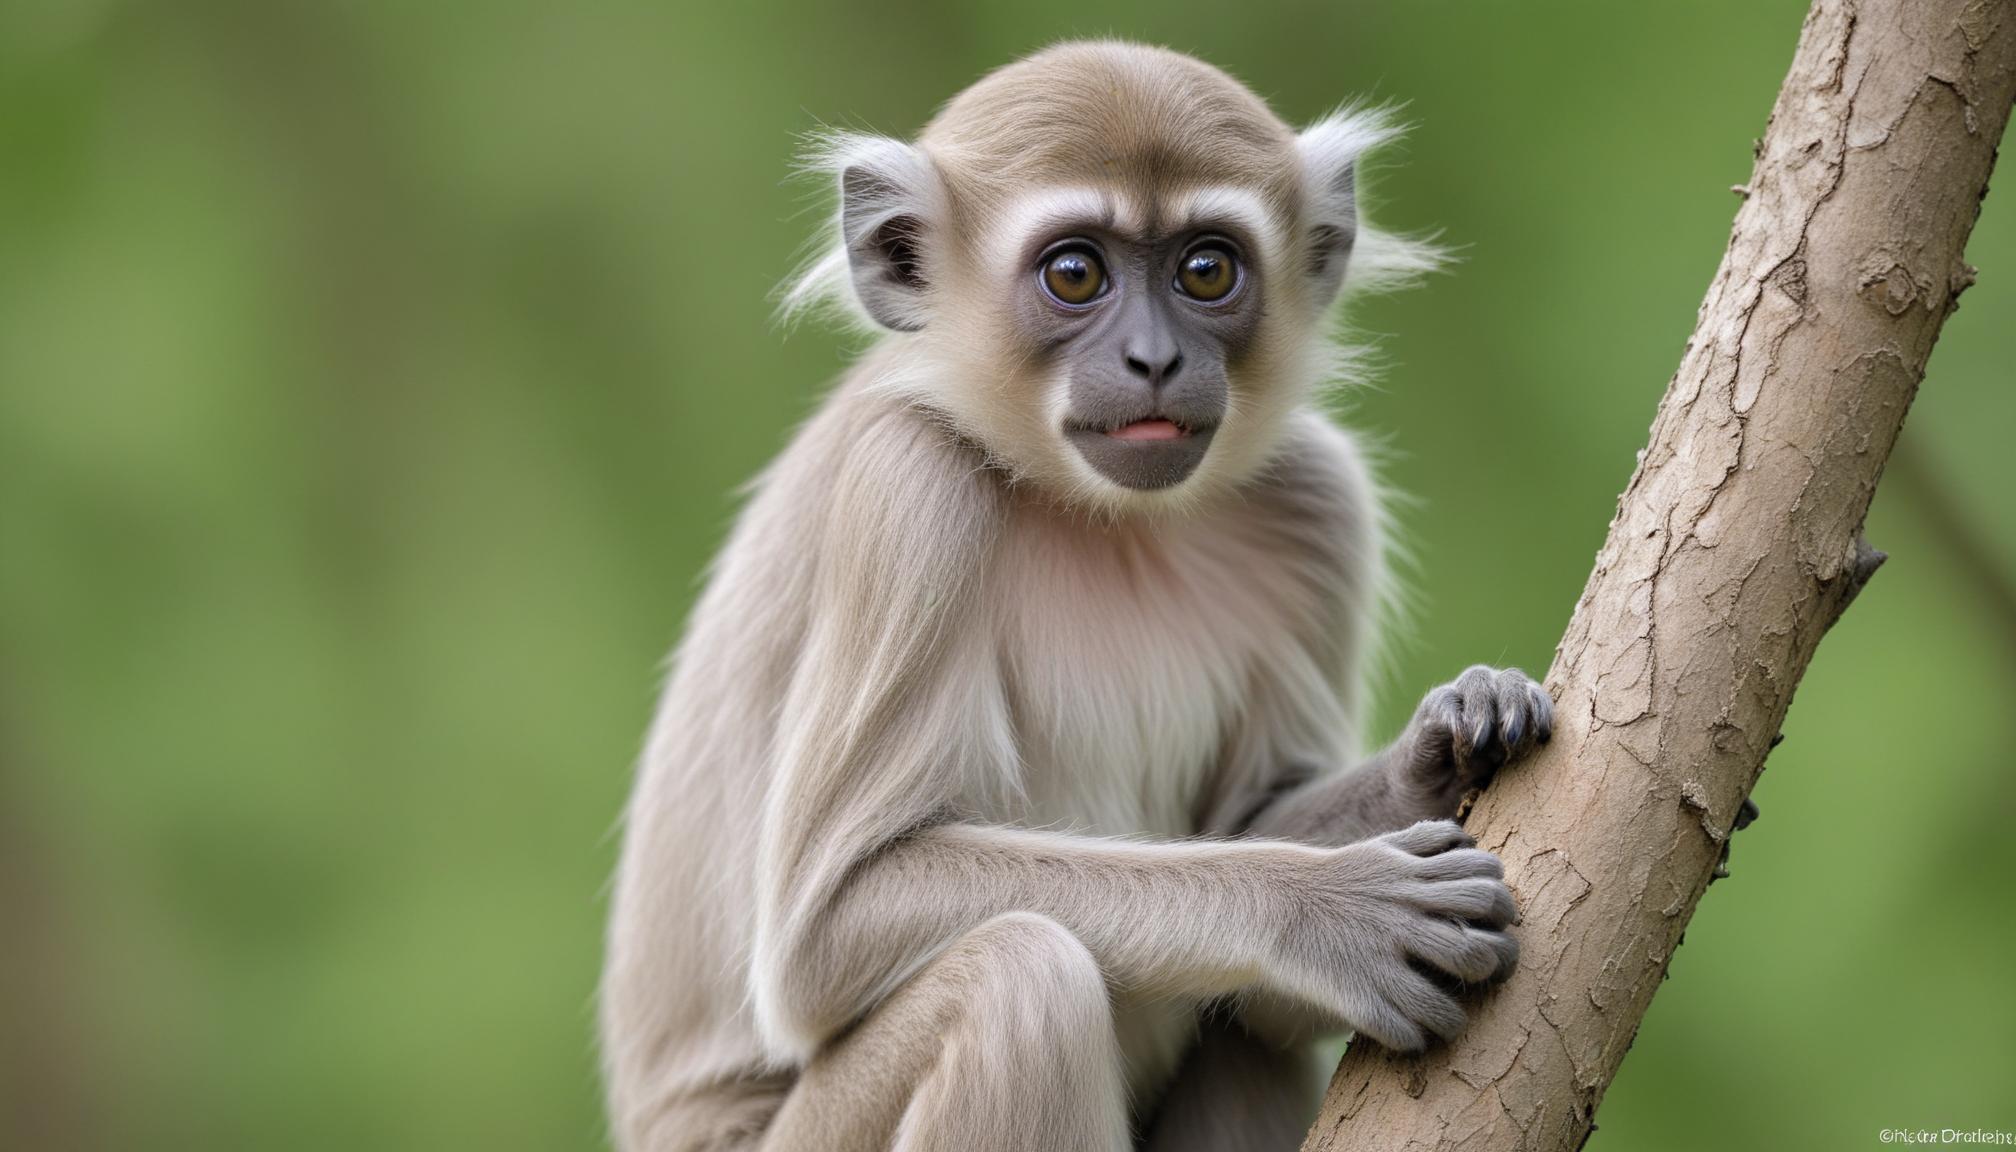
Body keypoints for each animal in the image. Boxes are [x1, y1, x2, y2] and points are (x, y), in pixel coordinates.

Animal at [600, 41, 1554, 1152]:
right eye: (1075, 273)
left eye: (1206, 270)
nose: (1154, 358)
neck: (1103, 518)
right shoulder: (910, 489)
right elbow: (830, 925)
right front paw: (1326, 910)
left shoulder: (1318, 499)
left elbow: (1261, 866)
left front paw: (1448, 743)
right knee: (1023, 982)